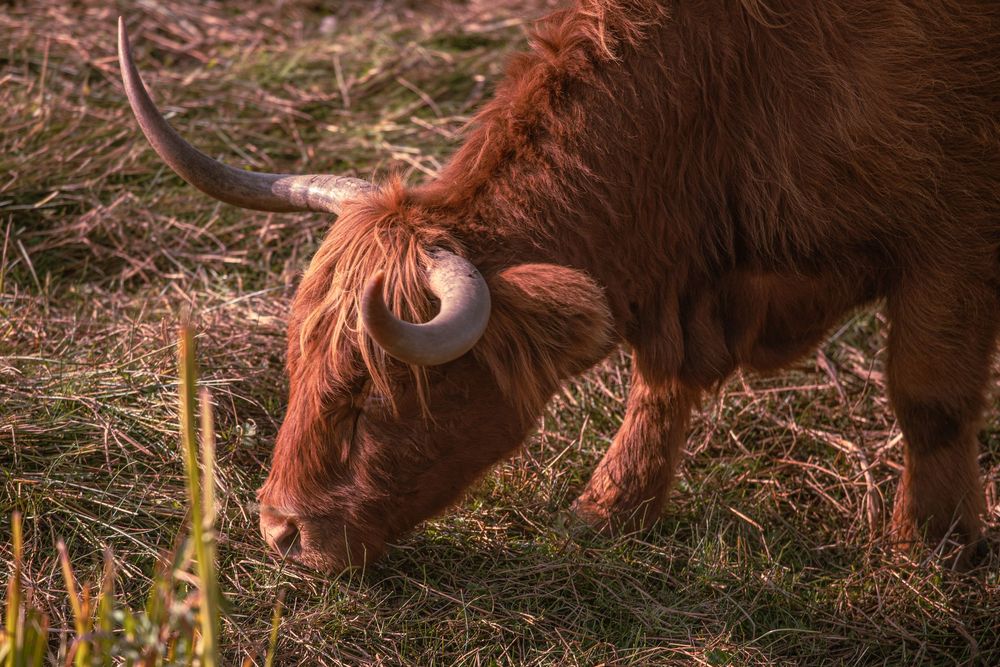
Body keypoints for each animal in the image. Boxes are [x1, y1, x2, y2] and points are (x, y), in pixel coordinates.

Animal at [117, 0, 999, 573]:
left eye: (374, 392)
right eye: (295, 365)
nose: (278, 531)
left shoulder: (954, 235)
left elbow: (928, 394)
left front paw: (929, 545)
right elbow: (661, 383)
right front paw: (609, 510)